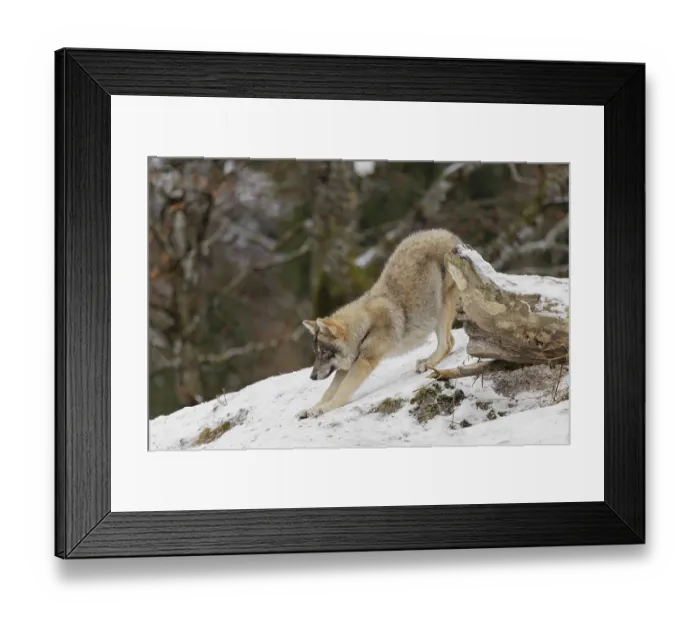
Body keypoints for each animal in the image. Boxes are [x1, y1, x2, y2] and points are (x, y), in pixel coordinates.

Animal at [297, 228, 462, 419]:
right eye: (317, 354)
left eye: (324, 353)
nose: (312, 376)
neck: (364, 328)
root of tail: (448, 234)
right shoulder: (345, 368)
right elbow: (329, 392)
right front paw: (312, 409)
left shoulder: (364, 362)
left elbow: (342, 391)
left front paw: (325, 409)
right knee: (451, 341)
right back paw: (426, 360)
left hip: (441, 310)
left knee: (447, 343)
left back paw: (427, 364)